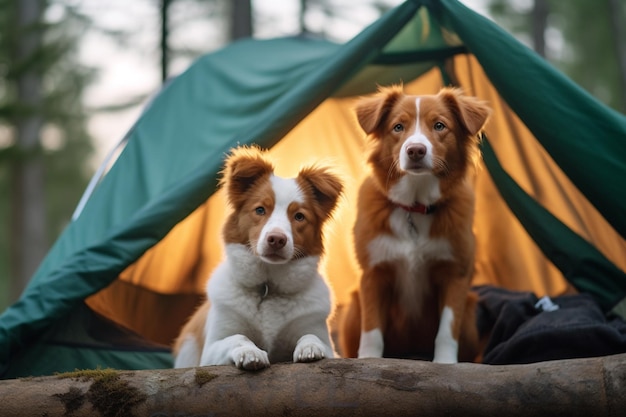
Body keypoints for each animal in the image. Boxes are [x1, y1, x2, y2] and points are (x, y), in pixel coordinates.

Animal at [173, 146, 344, 370]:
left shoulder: (321, 336)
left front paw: (311, 347)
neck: (268, 288)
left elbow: (311, 336)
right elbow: (238, 337)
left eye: (299, 216)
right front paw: (250, 352)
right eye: (260, 210)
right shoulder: (211, 349)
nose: (277, 240)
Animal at [336, 86, 488, 362]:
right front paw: (368, 361)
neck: (415, 205)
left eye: (439, 125)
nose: (415, 150)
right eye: (398, 127)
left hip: (471, 314)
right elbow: (372, 330)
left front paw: (445, 363)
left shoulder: (455, 273)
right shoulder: (374, 272)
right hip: (353, 306)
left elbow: (447, 330)